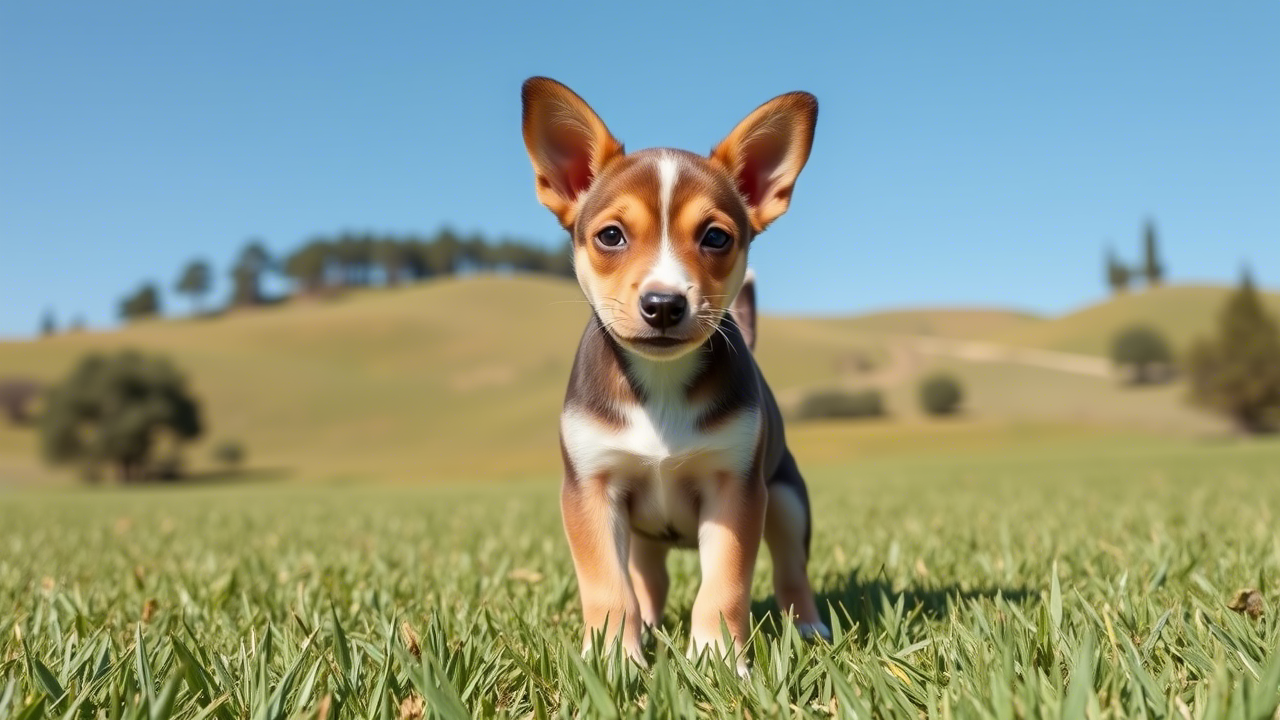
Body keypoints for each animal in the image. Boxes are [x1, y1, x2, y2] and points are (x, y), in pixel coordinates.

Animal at [522, 75, 829, 666]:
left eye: (716, 237)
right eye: (611, 236)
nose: (664, 304)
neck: (661, 384)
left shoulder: (736, 490)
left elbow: (723, 585)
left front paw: (717, 660)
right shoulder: (590, 490)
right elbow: (607, 588)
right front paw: (613, 661)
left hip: (785, 499)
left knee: (791, 574)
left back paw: (809, 629)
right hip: (644, 538)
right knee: (650, 583)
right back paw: (648, 627)